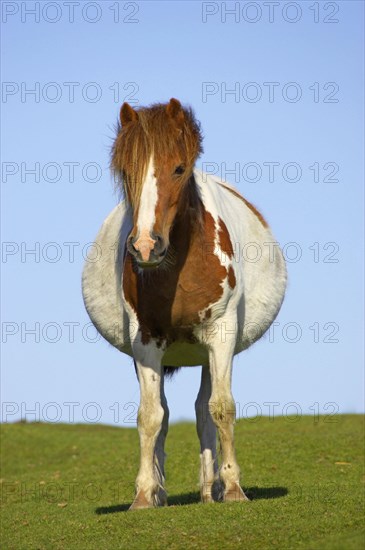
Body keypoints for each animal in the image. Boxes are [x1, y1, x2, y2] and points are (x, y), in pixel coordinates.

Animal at [82, 98, 288, 508]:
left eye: (179, 168)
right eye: (126, 170)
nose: (146, 246)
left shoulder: (221, 333)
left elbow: (221, 409)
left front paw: (234, 488)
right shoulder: (146, 341)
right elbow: (151, 416)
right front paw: (144, 494)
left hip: (210, 352)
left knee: (204, 412)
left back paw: (212, 490)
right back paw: (165, 492)